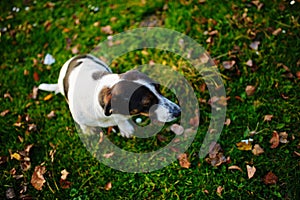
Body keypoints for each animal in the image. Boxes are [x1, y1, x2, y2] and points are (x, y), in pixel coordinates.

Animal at [39, 54, 182, 138]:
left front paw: (125, 128)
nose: (178, 112)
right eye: (147, 103)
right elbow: (83, 125)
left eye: (158, 88)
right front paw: (87, 131)